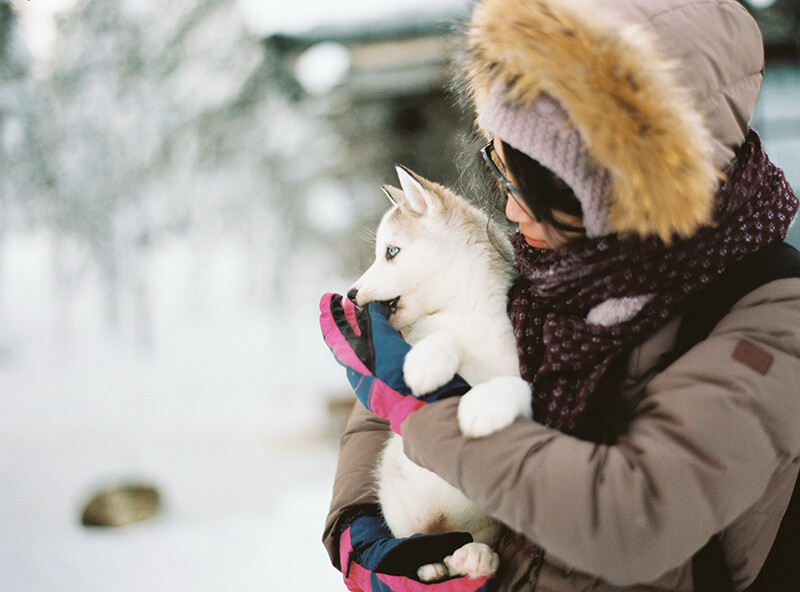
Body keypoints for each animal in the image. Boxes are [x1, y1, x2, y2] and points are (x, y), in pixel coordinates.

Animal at [348, 166, 532, 584]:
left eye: (391, 252)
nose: (350, 293)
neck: (465, 312)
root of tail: (444, 525)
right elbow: (437, 340)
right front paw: (427, 363)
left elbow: (517, 386)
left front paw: (484, 407)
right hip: (395, 491)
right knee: (421, 544)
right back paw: (432, 563)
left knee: (465, 546)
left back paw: (476, 558)